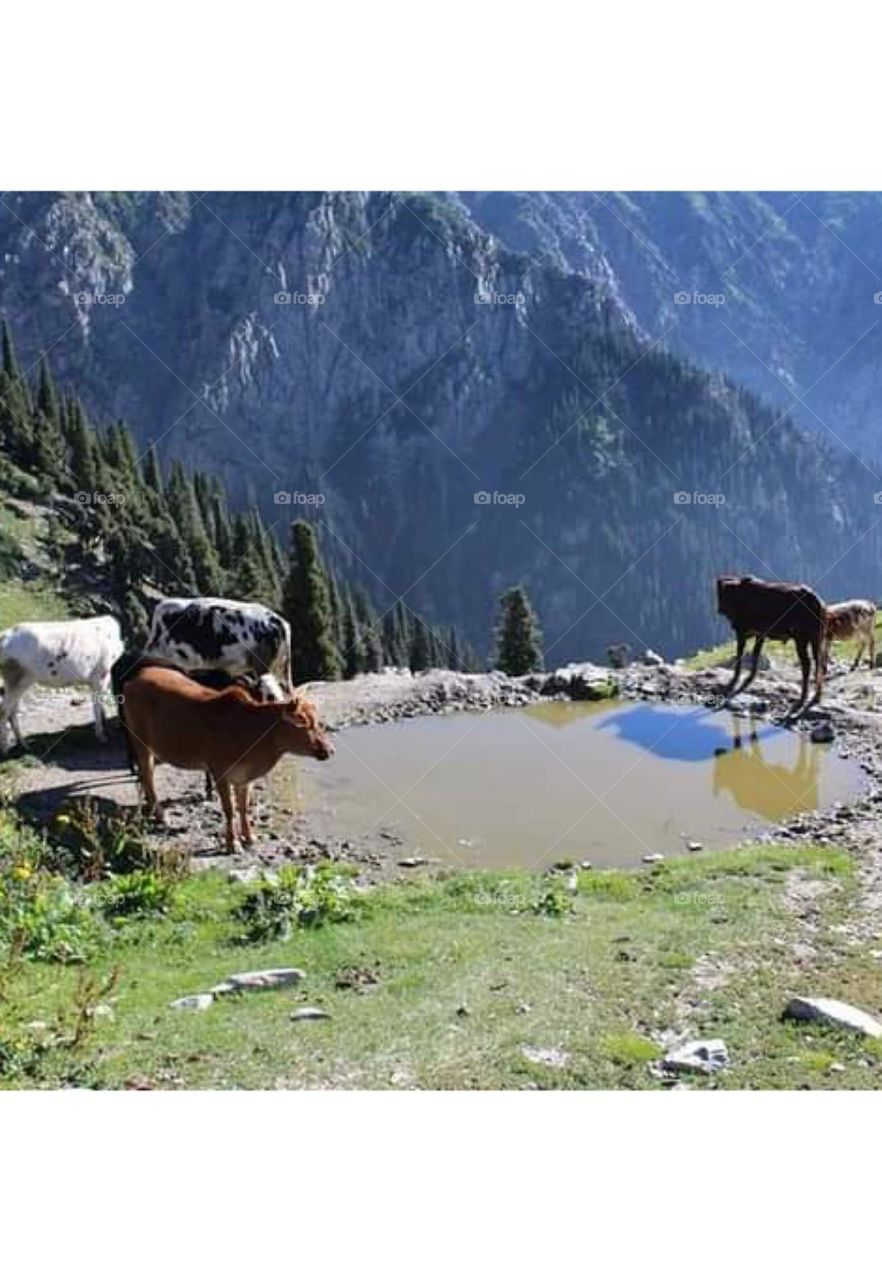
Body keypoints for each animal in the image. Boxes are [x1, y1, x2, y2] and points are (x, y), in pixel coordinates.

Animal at [0, 615, 123, 752]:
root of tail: (5, 635)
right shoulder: (101, 674)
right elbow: (97, 706)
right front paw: (101, 735)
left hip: (21, 682)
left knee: (12, 711)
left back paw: (23, 744)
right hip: (16, 678)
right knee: (4, 711)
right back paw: (4, 748)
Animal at [119, 663, 333, 854]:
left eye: (318, 722)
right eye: (304, 723)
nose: (330, 750)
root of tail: (135, 678)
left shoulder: (244, 777)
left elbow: (243, 807)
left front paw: (249, 837)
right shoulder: (220, 772)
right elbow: (229, 809)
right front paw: (233, 844)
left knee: (145, 777)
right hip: (140, 742)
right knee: (147, 776)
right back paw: (161, 815)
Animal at [715, 574, 828, 712]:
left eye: (721, 594)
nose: (720, 610)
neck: (739, 593)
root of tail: (815, 600)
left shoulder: (741, 632)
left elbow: (739, 655)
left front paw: (734, 680)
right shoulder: (760, 634)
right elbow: (755, 653)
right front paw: (750, 677)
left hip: (801, 639)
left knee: (807, 664)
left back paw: (802, 698)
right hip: (816, 638)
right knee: (819, 662)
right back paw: (817, 695)